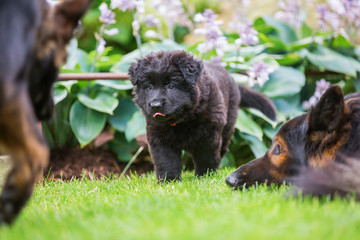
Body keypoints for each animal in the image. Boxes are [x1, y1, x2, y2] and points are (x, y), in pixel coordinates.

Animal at [128, 50, 278, 182]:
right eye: (149, 86)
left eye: (171, 85)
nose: (155, 105)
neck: (181, 121)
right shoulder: (159, 137)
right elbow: (166, 160)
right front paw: (168, 181)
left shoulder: (209, 135)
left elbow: (206, 157)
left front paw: (204, 177)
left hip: (227, 128)